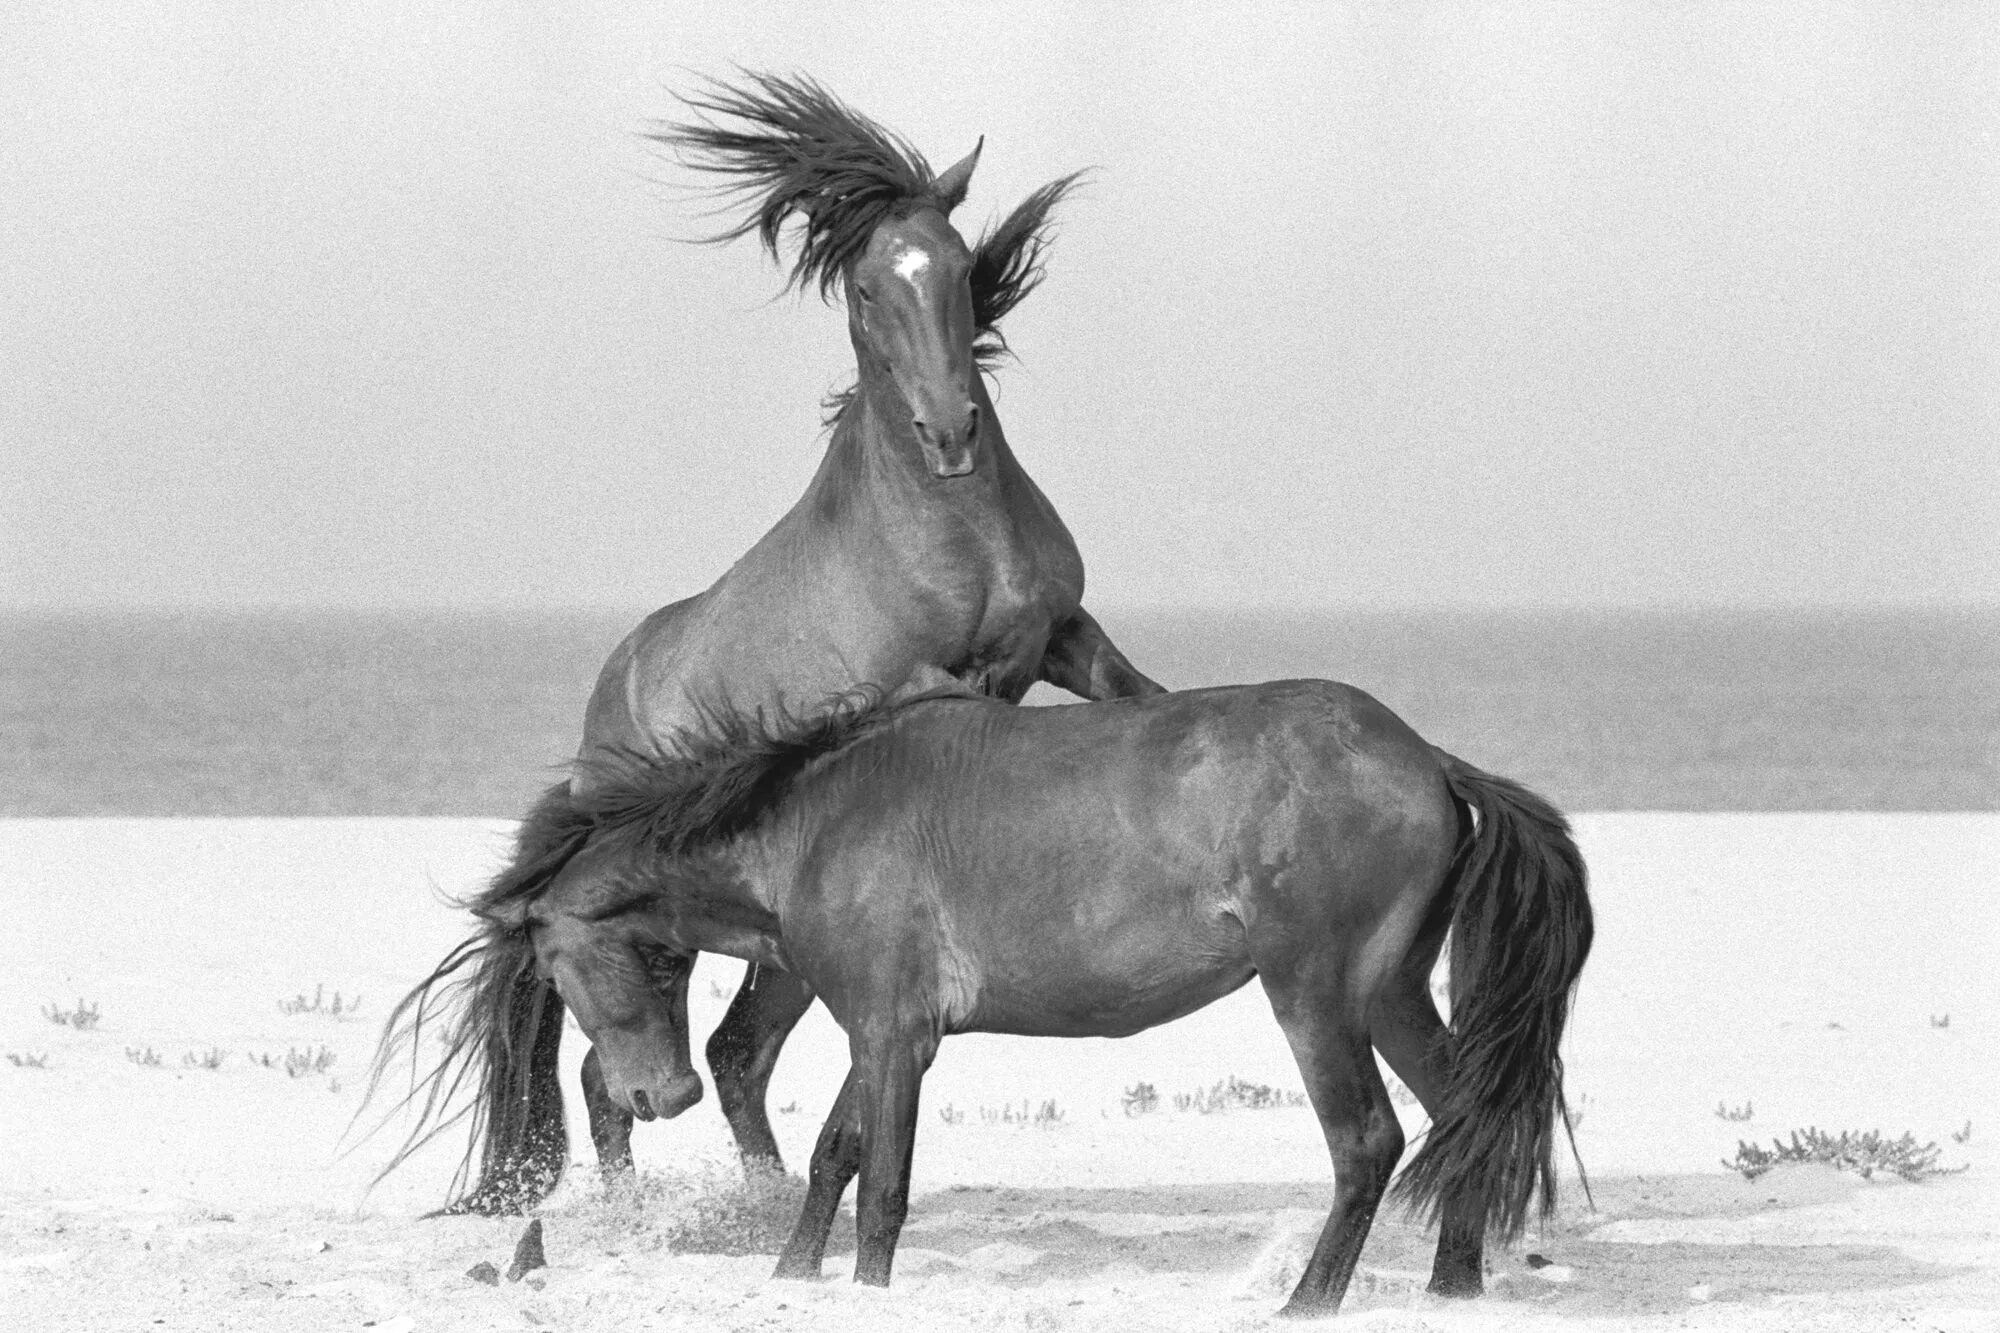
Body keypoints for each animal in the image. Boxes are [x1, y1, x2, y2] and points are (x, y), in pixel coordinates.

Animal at [368, 75, 1168, 1216]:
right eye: (866, 289)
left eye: (955, 266)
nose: (949, 432)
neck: (948, 530)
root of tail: (599, 734)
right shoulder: (929, 685)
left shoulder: (1063, 638)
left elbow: (1143, 695)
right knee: (638, 1068)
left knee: (717, 1058)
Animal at [476, 680, 1584, 1312]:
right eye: (645, 961)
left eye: (563, 959)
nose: (659, 1096)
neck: (814, 822)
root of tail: (1427, 759)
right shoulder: (886, 1030)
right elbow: (837, 1156)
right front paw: (792, 1275)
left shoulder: (893, 1034)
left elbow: (882, 1187)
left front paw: (866, 1288)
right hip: (1389, 997)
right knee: (1463, 1117)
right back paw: (1451, 1285)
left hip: (1314, 997)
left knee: (1367, 1142)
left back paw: (1308, 1302)